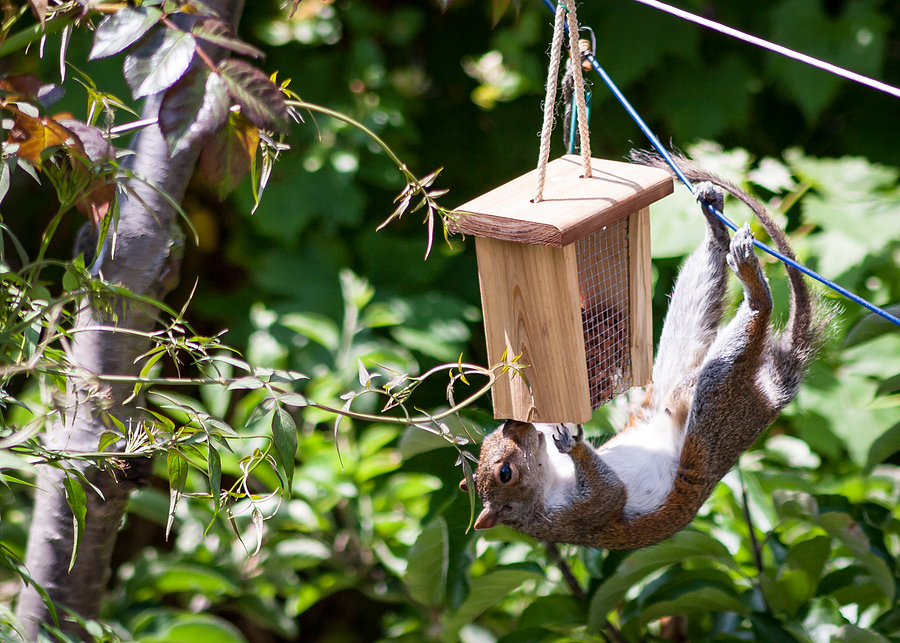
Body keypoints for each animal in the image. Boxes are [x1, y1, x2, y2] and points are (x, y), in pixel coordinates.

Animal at [459, 153, 830, 549]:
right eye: (505, 473)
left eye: (490, 440)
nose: (512, 425)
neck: (545, 484)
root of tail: (772, 397)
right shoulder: (575, 518)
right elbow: (610, 494)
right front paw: (571, 445)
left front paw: (545, 422)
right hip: (718, 413)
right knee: (747, 332)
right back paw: (753, 283)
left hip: (676, 379)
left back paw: (715, 224)